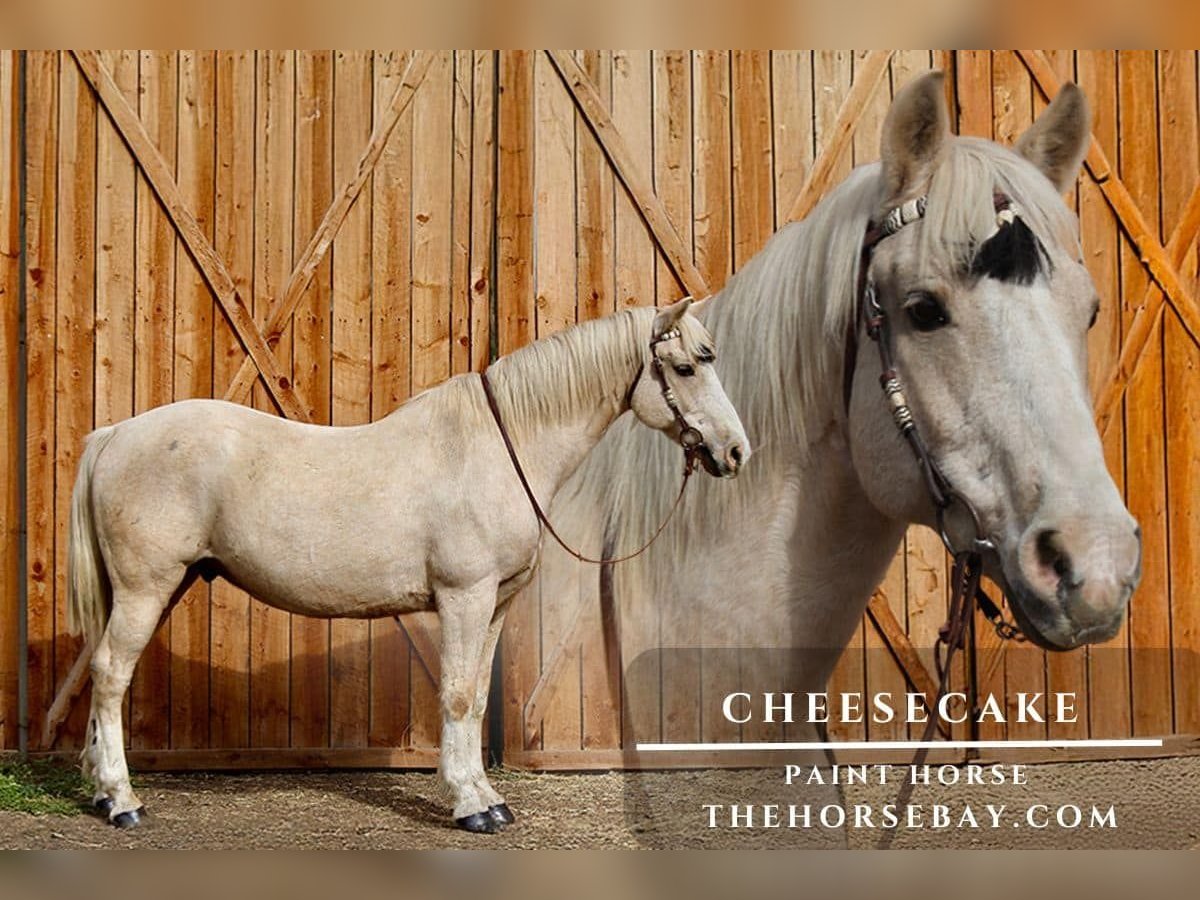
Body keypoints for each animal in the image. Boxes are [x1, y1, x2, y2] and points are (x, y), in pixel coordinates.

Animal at [66, 296, 750, 832]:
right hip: (145, 589)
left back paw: (102, 791)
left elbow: (476, 695)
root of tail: (114, 435)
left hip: (164, 585)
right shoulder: (465, 596)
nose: (736, 451)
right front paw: (470, 806)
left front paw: (488, 798)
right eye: (685, 366)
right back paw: (123, 801)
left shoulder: (495, 602)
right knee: (110, 674)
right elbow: (456, 695)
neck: (498, 446)